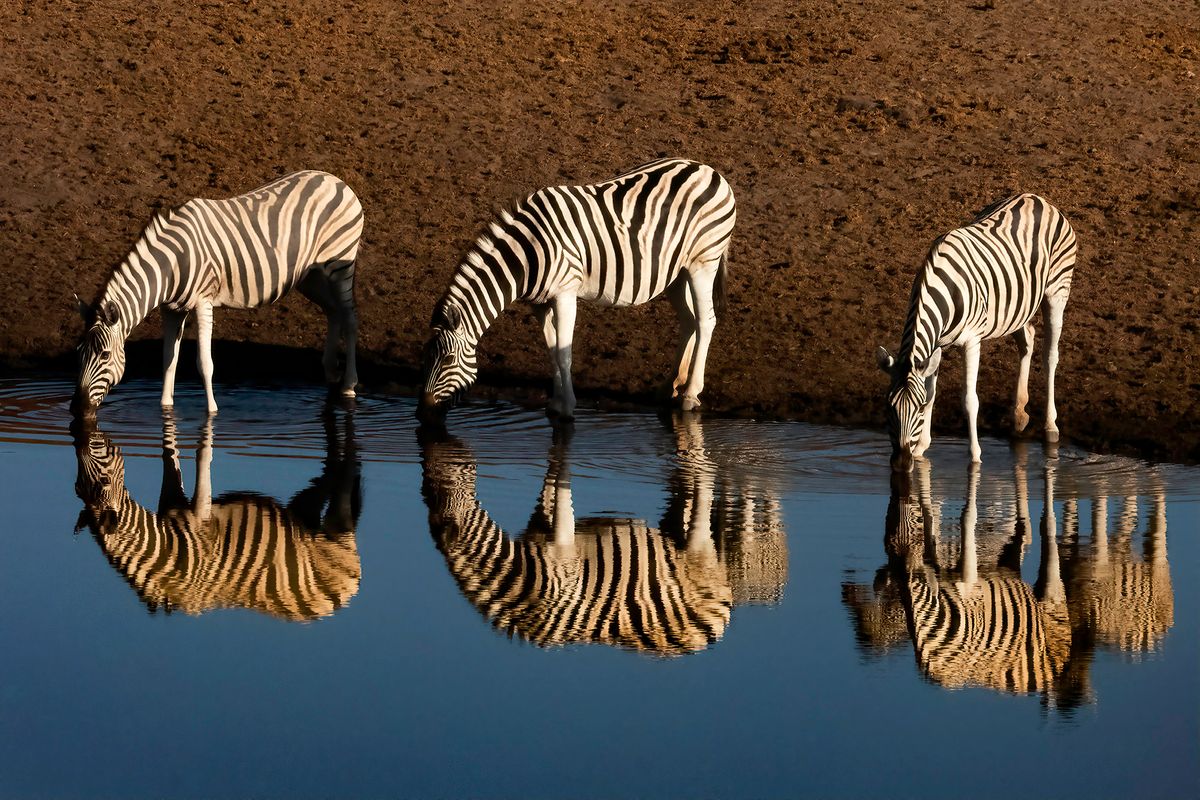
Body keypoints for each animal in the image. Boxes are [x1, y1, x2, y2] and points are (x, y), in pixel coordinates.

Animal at [72, 170, 363, 417]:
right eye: (79, 351)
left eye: (105, 355)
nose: (77, 408)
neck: (172, 264)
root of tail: (334, 179)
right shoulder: (172, 309)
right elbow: (169, 360)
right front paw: (166, 407)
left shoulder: (203, 301)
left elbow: (205, 363)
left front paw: (212, 411)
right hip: (310, 276)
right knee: (333, 312)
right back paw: (330, 371)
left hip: (340, 264)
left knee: (349, 318)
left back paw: (349, 384)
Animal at [72, 409, 362, 621]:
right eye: (77, 488)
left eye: (104, 480)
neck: (166, 548)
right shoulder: (172, 502)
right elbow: (170, 456)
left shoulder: (199, 523)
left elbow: (200, 456)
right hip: (302, 515)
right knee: (328, 477)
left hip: (335, 530)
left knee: (343, 479)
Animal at [417, 158, 736, 423]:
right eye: (425, 357)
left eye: (447, 360)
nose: (422, 412)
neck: (528, 253)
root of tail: (711, 170)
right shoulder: (539, 303)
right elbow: (552, 350)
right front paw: (556, 403)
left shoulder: (565, 294)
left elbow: (564, 352)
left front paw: (567, 407)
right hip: (675, 272)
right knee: (689, 320)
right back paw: (669, 387)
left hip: (703, 262)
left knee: (706, 321)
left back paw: (690, 395)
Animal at [875, 193, 1077, 470]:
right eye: (888, 408)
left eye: (918, 408)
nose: (901, 463)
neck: (943, 288)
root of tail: (1036, 198)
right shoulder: (937, 343)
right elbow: (932, 390)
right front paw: (921, 448)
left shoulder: (972, 341)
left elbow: (970, 401)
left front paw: (975, 456)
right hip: (1018, 305)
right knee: (1027, 339)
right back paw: (1019, 415)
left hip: (1057, 290)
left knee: (1050, 356)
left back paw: (1050, 426)